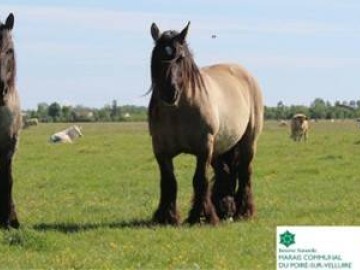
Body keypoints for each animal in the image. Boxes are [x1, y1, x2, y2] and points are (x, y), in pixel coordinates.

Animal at [148, 21, 262, 226]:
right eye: (158, 56)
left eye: (180, 57)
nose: (169, 92)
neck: (178, 112)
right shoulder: (161, 150)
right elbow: (169, 182)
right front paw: (167, 217)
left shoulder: (204, 148)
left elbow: (200, 180)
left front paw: (201, 216)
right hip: (220, 147)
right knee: (225, 173)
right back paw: (225, 209)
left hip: (248, 143)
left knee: (244, 173)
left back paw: (243, 211)